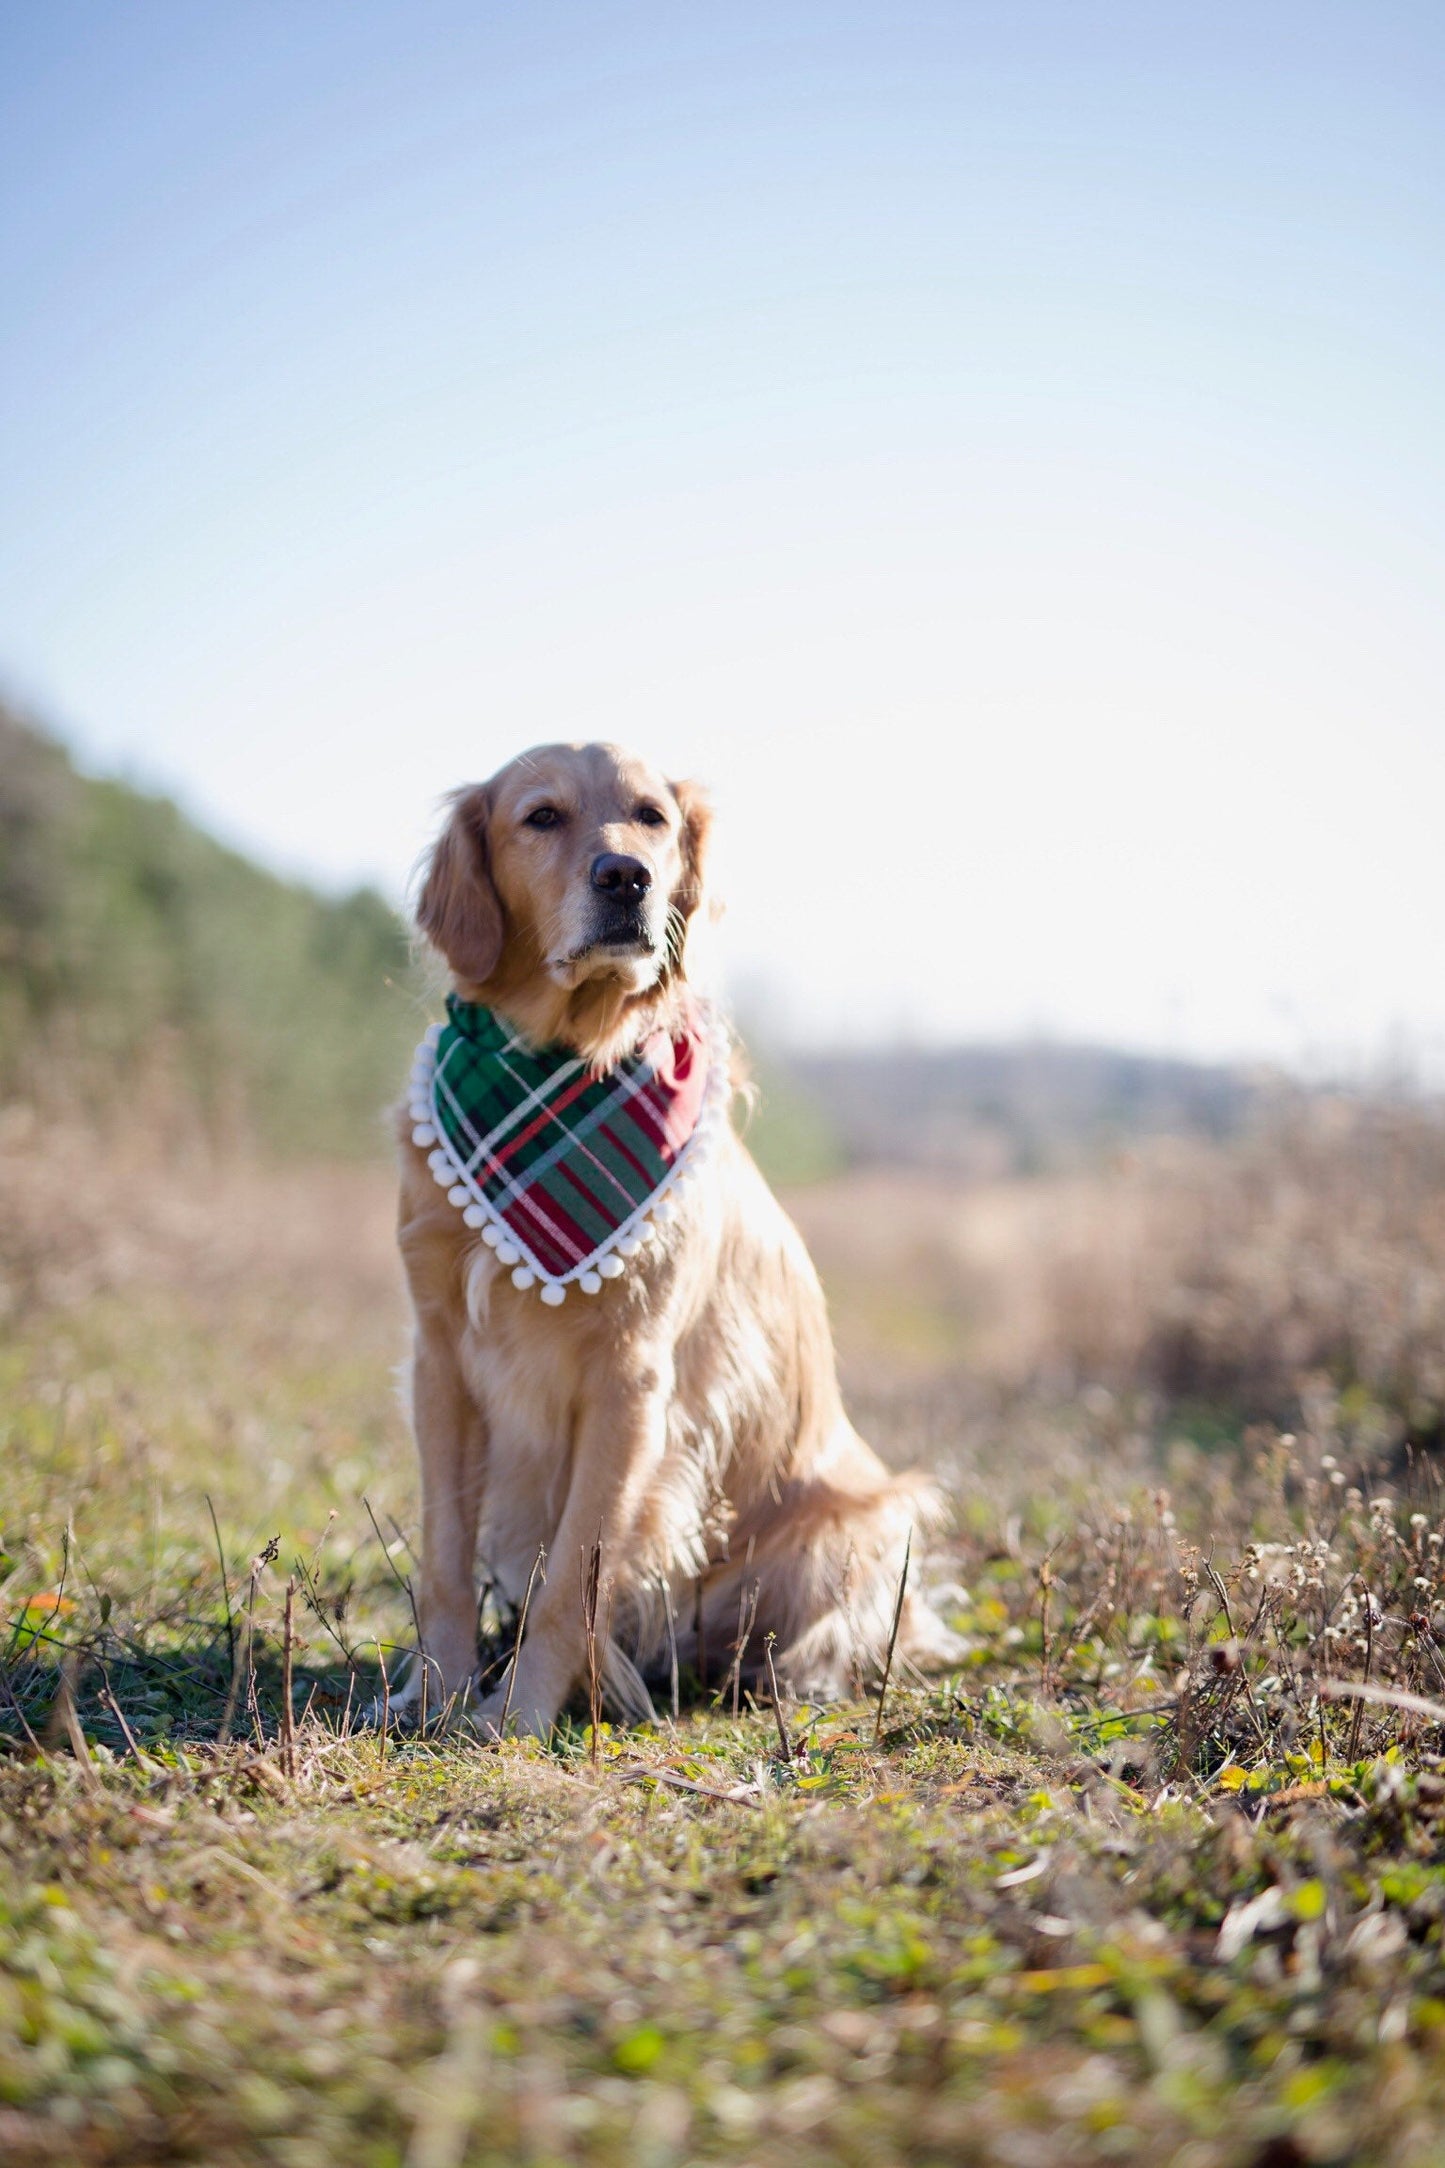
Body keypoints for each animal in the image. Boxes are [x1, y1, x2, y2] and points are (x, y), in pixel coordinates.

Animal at [396, 737, 948, 1734]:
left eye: (650, 816)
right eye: (541, 816)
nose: (627, 877)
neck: (566, 1058)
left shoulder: (631, 1377)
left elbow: (570, 1583)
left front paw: (516, 1716)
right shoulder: (439, 1358)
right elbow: (447, 1559)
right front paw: (434, 1691)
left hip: (860, 1524)